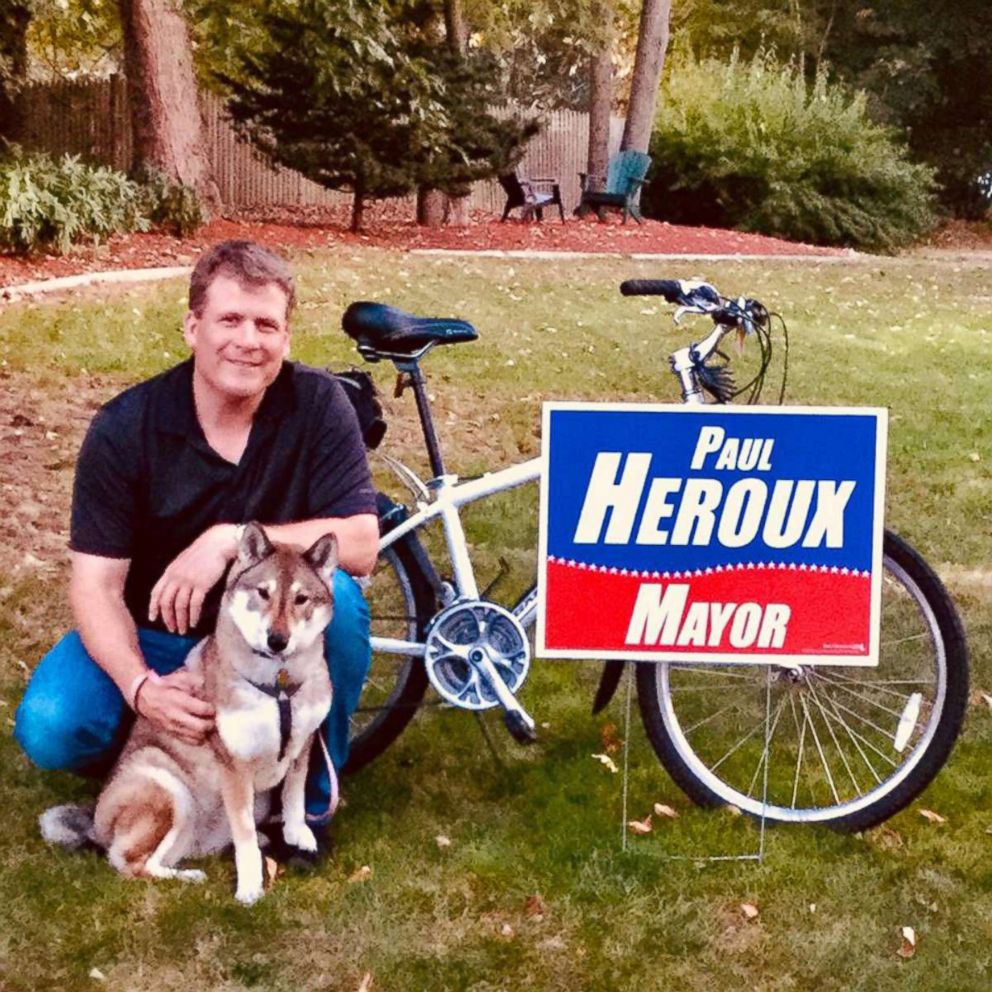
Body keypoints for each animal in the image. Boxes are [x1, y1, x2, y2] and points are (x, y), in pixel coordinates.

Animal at [39, 528, 338, 908]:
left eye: (301, 599)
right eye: (263, 592)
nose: (277, 640)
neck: (279, 684)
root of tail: (96, 821)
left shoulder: (304, 741)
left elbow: (294, 795)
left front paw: (298, 834)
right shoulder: (234, 765)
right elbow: (244, 837)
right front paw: (250, 886)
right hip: (167, 787)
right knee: (129, 863)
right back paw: (189, 877)